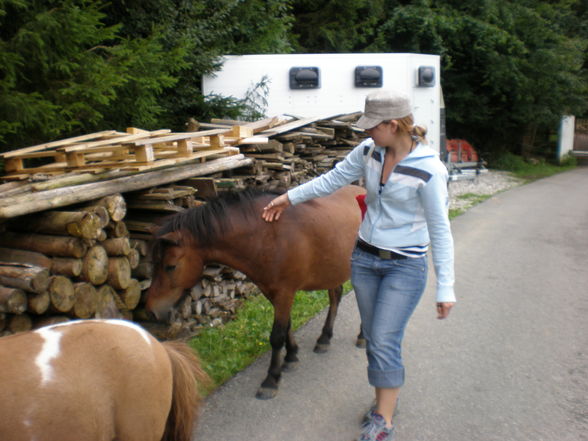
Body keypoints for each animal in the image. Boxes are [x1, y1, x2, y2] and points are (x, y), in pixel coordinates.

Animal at [145, 184, 362, 398]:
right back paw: (324, 338)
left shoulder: (284, 293)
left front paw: (271, 379)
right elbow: (287, 326)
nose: (152, 309)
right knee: (335, 297)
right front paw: (291, 356)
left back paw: (361, 337)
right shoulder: (271, 292)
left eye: (170, 266)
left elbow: (277, 335)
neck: (267, 235)